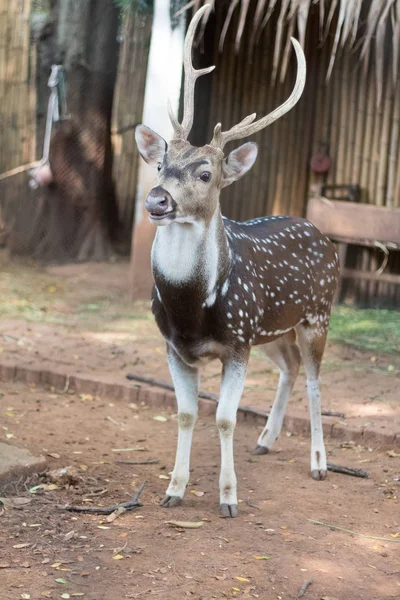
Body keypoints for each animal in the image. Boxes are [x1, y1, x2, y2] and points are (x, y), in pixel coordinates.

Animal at [135, 4, 340, 516]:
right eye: (161, 164)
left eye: (206, 173)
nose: (157, 199)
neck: (191, 309)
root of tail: (321, 235)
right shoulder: (174, 345)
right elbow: (186, 413)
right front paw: (174, 490)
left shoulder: (237, 342)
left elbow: (225, 419)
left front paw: (228, 498)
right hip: (273, 329)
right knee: (290, 368)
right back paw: (265, 440)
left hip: (317, 315)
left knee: (314, 380)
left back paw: (319, 463)